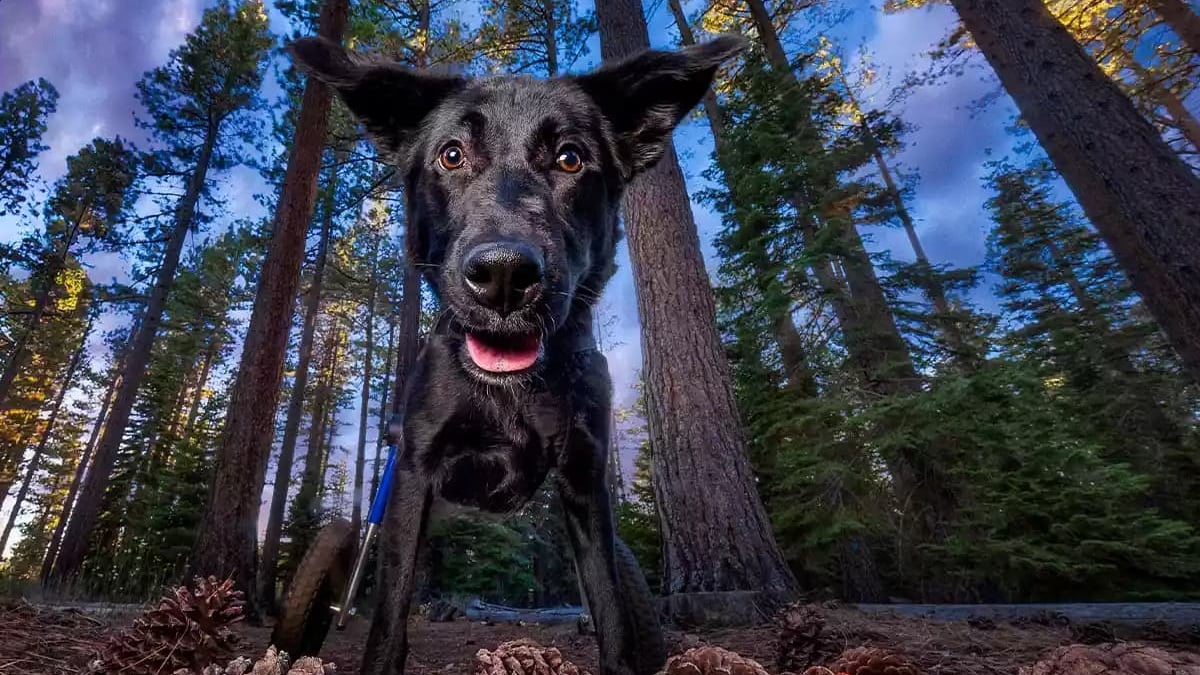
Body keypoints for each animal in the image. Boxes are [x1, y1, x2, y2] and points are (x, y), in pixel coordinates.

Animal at [289, 32, 739, 672]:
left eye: (570, 158)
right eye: (452, 155)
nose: (503, 275)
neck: (512, 396)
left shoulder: (584, 480)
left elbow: (609, 605)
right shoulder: (413, 473)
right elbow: (390, 611)